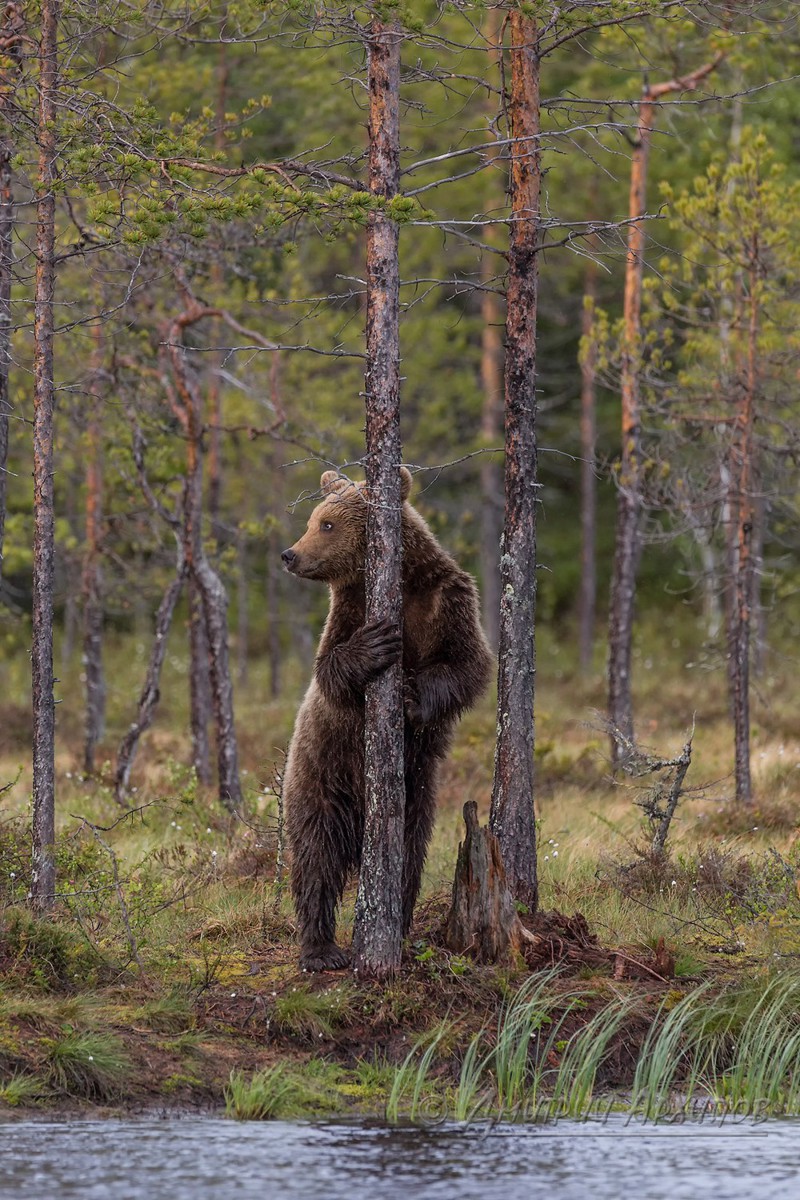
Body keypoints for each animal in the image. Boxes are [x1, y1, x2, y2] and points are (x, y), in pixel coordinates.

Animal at [281, 463, 494, 969]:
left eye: (327, 524)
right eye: (314, 519)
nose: (290, 554)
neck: (400, 585)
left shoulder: (447, 598)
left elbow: (468, 664)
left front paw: (413, 698)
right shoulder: (348, 611)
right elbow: (330, 671)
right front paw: (374, 647)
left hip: (417, 794)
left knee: (408, 858)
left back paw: (395, 926)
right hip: (319, 776)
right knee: (315, 859)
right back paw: (320, 949)